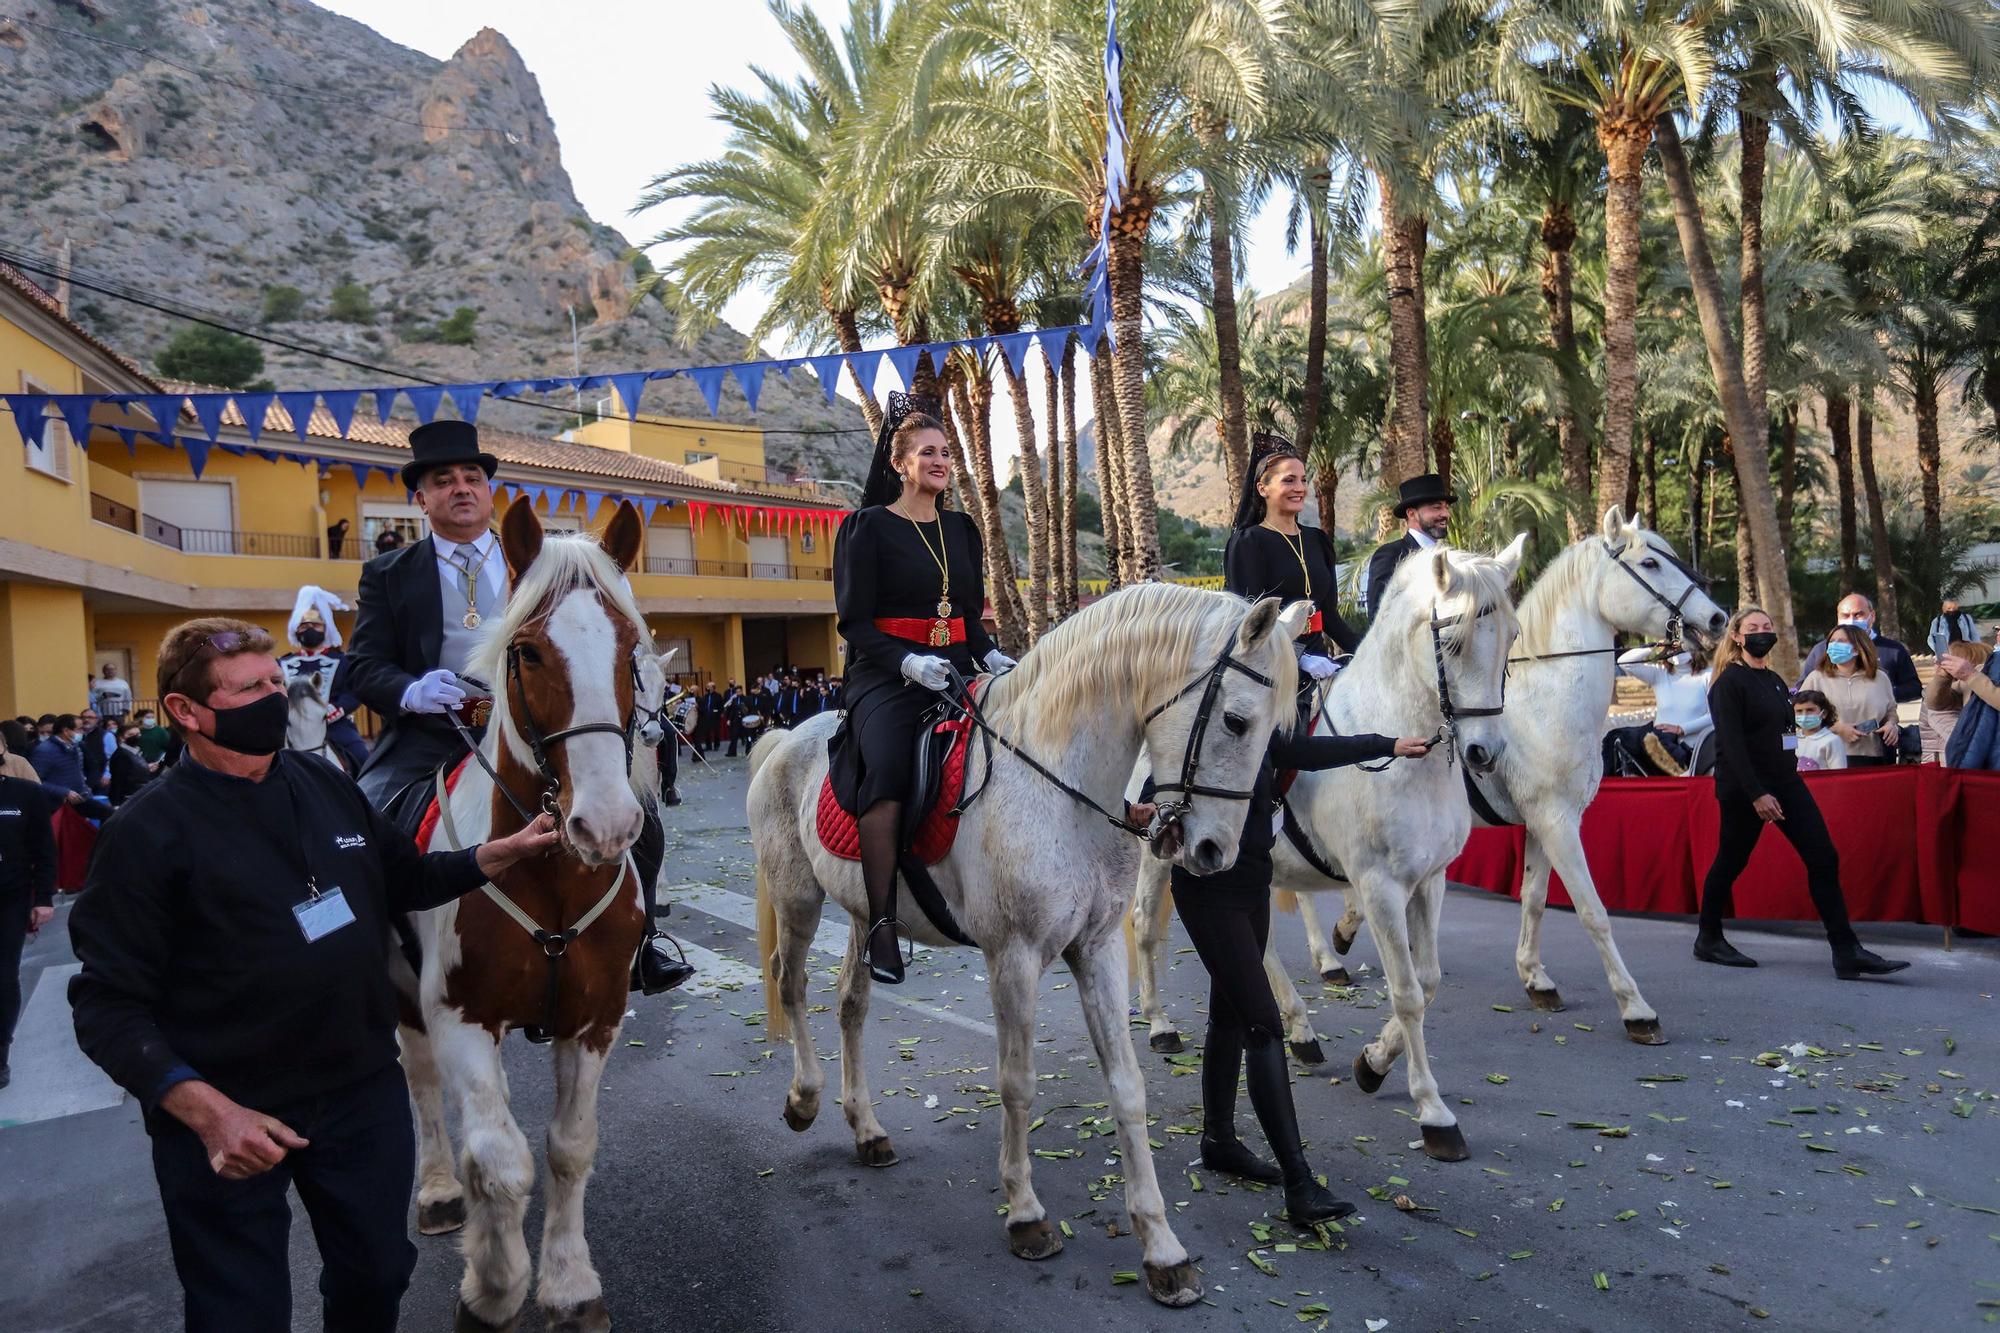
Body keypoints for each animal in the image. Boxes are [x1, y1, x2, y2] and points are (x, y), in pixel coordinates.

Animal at [394, 498, 660, 1328]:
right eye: (529, 652)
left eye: (631, 649)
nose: (604, 824)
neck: (552, 876)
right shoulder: (458, 1015)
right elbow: (499, 1158)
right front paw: (495, 1283)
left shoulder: (595, 1017)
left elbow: (568, 1147)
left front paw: (569, 1283)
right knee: (424, 1084)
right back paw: (440, 1189)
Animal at [752, 584, 1312, 1304]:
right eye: (1238, 722)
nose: (1215, 852)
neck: (1061, 785)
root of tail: (785, 737)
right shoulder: (1013, 958)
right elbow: (1016, 1082)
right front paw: (1025, 1213)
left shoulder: (1099, 951)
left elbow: (1127, 1086)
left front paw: (1161, 1247)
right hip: (797, 897)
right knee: (791, 984)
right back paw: (804, 1098)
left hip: (861, 913)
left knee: (851, 1002)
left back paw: (867, 1128)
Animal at [1136, 536, 1520, 1160]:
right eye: (1453, 642)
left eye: (1512, 636)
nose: (1485, 753)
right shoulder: (1380, 887)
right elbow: (1407, 992)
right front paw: (1432, 1111)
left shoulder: (1430, 881)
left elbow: (1429, 980)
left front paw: (1373, 1062)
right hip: (1157, 855)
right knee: (1147, 926)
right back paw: (1160, 1024)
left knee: (1260, 946)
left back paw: (1300, 1028)